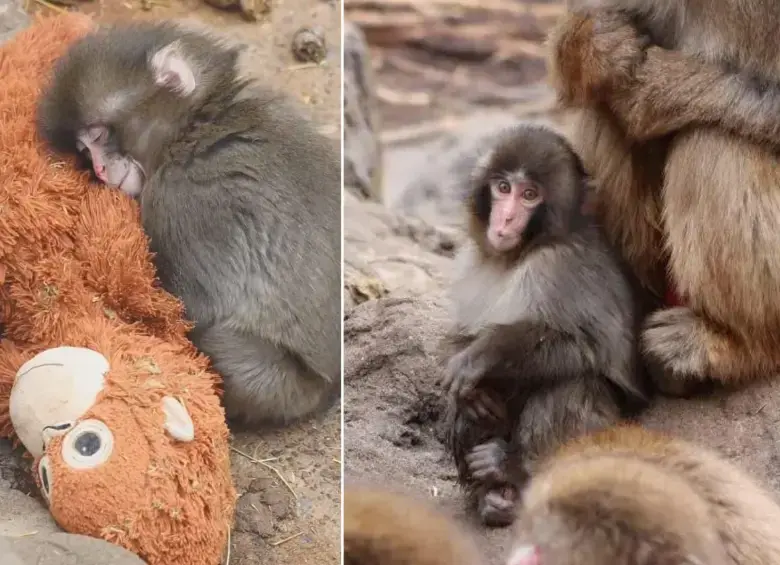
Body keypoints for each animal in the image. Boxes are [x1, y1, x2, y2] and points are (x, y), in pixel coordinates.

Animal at [36, 21, 341, 427]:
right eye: (84, 151)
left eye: (98, 135)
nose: (99, 169)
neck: (195, 127)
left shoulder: (176, 198)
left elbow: (194, 310)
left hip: (278, 387)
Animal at [440, 122, 648, 528]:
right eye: (503, 188)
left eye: (530, 195)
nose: (505, 220)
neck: (518, 255)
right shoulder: (471, 261)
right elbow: (461, 337)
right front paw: (474, 388)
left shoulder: (559, 266)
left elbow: (591, 346)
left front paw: (484, 356)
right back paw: (493, 497)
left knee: (572, 380)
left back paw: (516, 473)